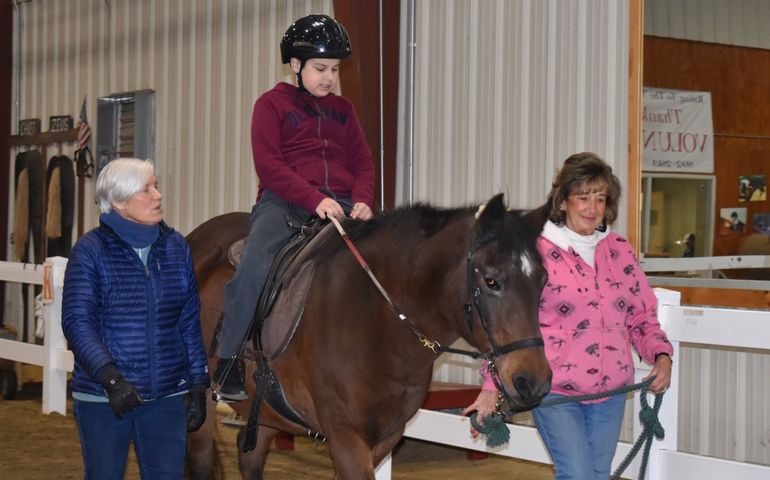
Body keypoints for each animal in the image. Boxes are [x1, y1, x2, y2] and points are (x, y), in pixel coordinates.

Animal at [183, 195, 548, 480]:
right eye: (491, 280)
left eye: (542, 280)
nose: (534, 382)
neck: (379, 323)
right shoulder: (346, 437)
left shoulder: (384, 438)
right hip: (202, 408)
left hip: (268, 411)